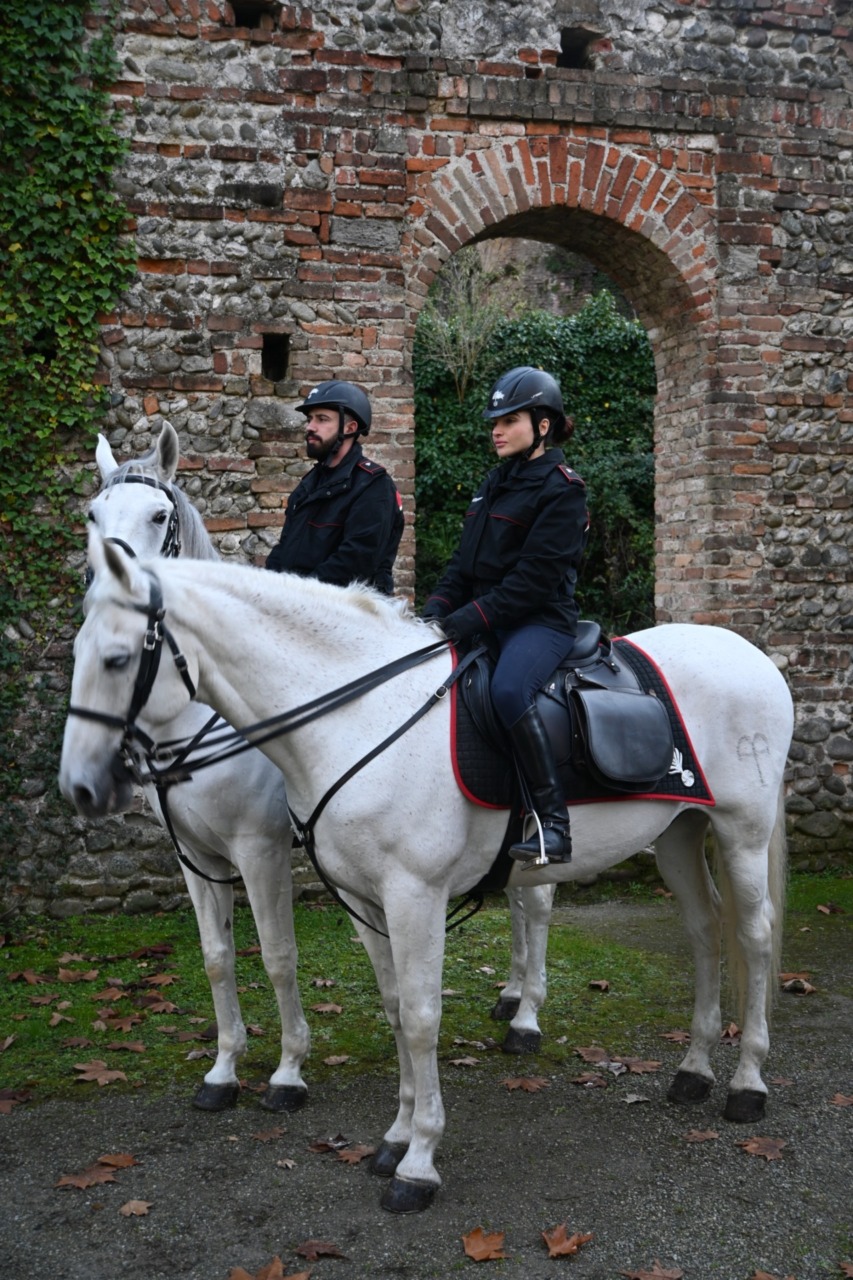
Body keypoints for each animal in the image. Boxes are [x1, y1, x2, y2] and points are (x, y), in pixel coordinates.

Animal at [60, 531, 794, 1214]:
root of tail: (749, 653)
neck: (353, 717)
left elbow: (414, 1016)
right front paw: (394, 1136)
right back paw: (692, 1071)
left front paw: (416, 1162)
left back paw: (745, 1084)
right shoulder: (360, 898)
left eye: (118, 659)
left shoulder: (400, 890)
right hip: (678, 833)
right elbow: (388, 1006)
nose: (80, 788)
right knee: (703, 933)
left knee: (753, 938)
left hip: (741, 829)